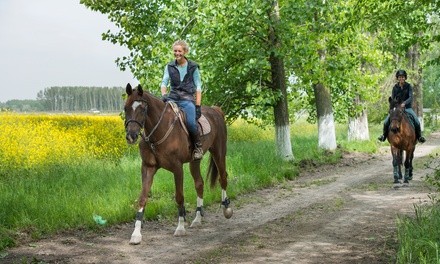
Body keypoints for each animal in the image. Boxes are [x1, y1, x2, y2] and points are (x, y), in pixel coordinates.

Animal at [124, 83, 232, 244]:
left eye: (142, 109)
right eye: (126, 108)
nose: (131, 136)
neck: (159, 130)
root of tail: (216, 110)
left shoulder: (177, 168)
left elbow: (179, 196)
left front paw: (180, 228)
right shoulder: (148, 168)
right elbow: (142, 197)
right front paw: (136, 234)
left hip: (219, 153)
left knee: (223, 178)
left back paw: (226, 209)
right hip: (195, 161)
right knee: (199, 184)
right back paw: (197, 219)